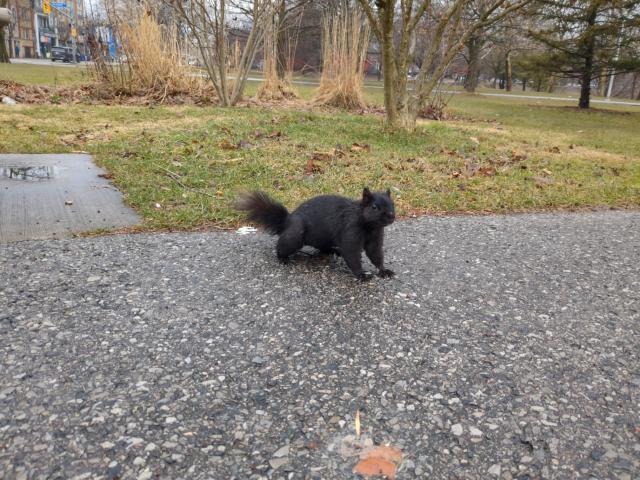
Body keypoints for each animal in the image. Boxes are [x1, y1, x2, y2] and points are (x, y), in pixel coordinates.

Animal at [236, 188, 395, 281]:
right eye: (374, 207)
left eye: (393, 204)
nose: (391, 216)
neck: (370, 226)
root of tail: (287, 221)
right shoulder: (350, 232)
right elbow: (352, 254)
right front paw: (361, 274)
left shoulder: (375, 239)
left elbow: (375, 255)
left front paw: (384, 271)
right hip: (295, 235)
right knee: (282, 246)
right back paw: (283, 258)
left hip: (322, 238)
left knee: (322, 248)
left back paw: (334, 251)